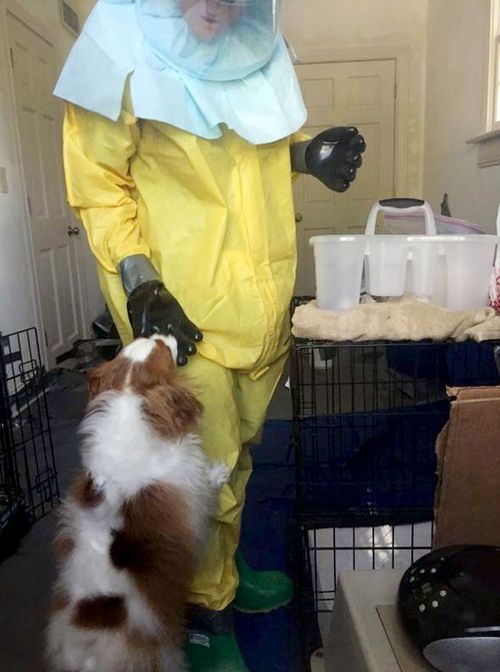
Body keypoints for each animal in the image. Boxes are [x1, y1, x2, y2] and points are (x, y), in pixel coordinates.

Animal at [47, 336, 227, 672]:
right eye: (162, 350)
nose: (161, 335)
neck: (130, 397)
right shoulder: (188, 484)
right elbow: (206, 485)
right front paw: (219, 474)